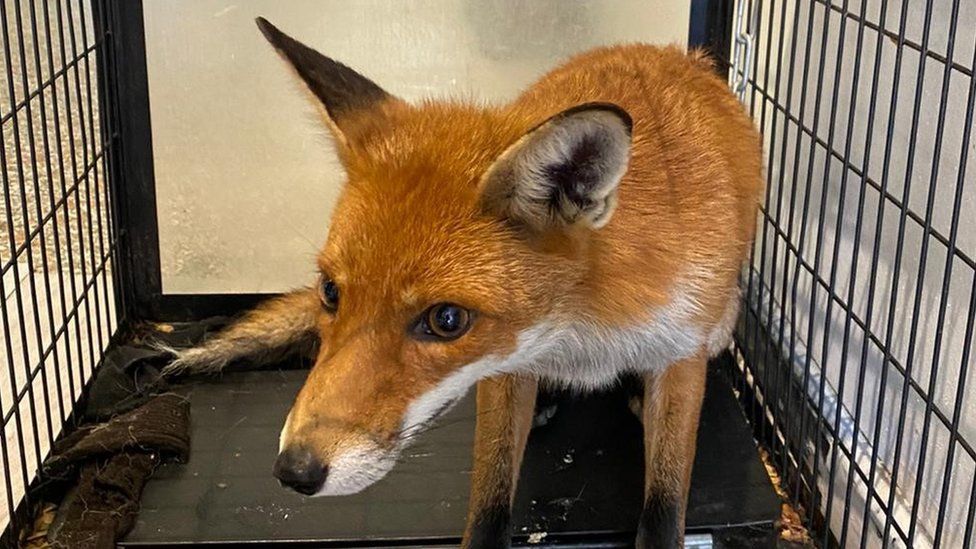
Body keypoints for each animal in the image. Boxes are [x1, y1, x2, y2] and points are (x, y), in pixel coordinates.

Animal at [162, 17, 764, 548]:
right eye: (331, 291)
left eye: (446, 320)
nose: (294, 470)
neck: (582, 328)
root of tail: (676, 54)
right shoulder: (505, 370)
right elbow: (489, 502)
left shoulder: (682, 351)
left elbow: (665, 509)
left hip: (721, 326)